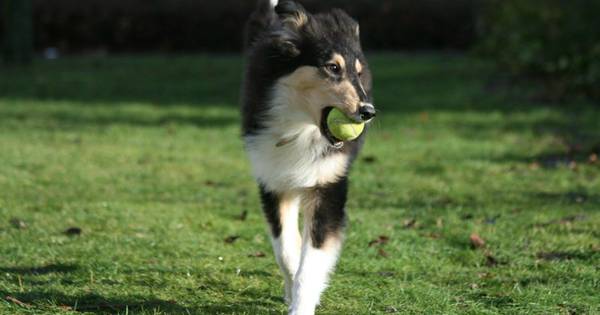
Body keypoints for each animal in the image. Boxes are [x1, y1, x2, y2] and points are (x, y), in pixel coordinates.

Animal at [240, 1, 372, 314]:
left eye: (358, 73)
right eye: (333, 67)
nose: (368, 112)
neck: (300, 127)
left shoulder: (329, 185)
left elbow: (309, 264)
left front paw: (301, 305)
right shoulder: (273, 182)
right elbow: (287, 252)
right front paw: (292, 294)